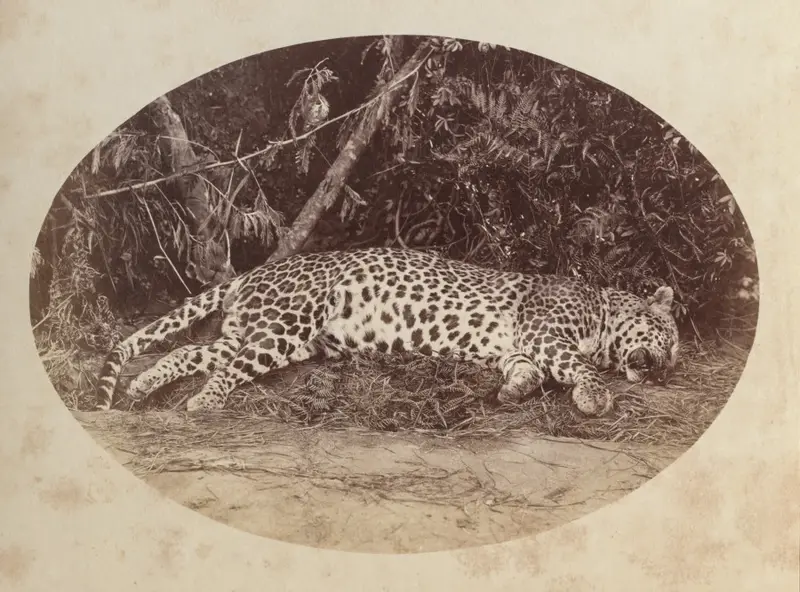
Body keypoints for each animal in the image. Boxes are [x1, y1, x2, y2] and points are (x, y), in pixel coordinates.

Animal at [95, 247, 680, 417]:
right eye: (672, 341)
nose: (666, 373)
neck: (601, 306)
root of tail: (253, 272)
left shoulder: (521, 349)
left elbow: (528, 373)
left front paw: (514, 392)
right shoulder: (545, 334)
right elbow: (576, 366)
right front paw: (596, 396)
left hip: (267, 335)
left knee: (194, 352)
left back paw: (141, 387)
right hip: (288, 323)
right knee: (226, 369)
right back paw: (203, 402)